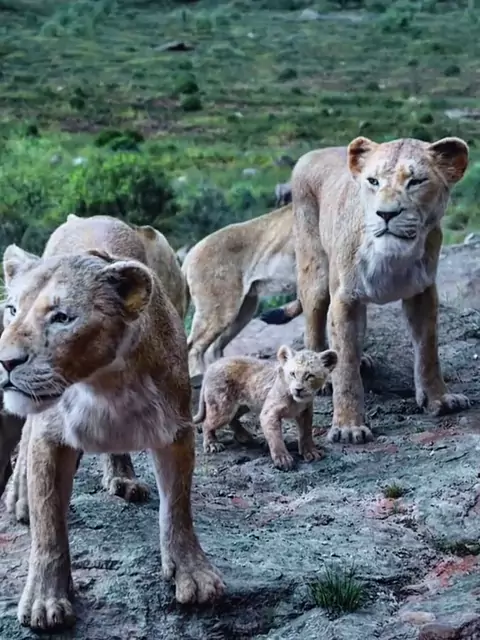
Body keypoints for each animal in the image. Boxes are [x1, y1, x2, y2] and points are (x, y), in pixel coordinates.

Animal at [0, 214, 224, 631]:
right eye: (11, 309)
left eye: (61, 317)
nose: (6, 361)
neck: (104, 383)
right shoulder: (50, 438)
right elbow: (49, 525)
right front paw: (44, 600)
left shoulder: (177, 431)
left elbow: (178, 508)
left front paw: (194, 575)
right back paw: (20, 497)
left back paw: (123, 477)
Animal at [182, 203, 296, 377]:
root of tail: (191, 252)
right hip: (220, 310)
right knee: (193, 347)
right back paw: (199, 376)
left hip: (243, 311)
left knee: (215, 348)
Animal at [193, 344, 337, 470]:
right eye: (292, 374)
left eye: (310, 375)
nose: (298, 389)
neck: (297, 401)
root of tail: (211, 367)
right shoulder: (269, 413)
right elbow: (275, 437)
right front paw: (283, 459)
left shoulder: (305, 412)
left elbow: (306, 432)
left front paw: (310, 452)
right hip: (223, 408)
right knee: (207, 423)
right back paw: (212, 444)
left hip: (244, 405)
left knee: (232, 419)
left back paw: (243, 436)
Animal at [263, 136, 470, 444]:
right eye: (373, 181)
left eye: (416, 181)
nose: (386, 214)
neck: (393, 259)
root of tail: (312, 154)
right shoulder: (344, 298)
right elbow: (346, 368)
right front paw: (348, 427)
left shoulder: (423, 292)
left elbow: (428, 351)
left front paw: (440, 400)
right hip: (315, 272)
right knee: (313, 322)